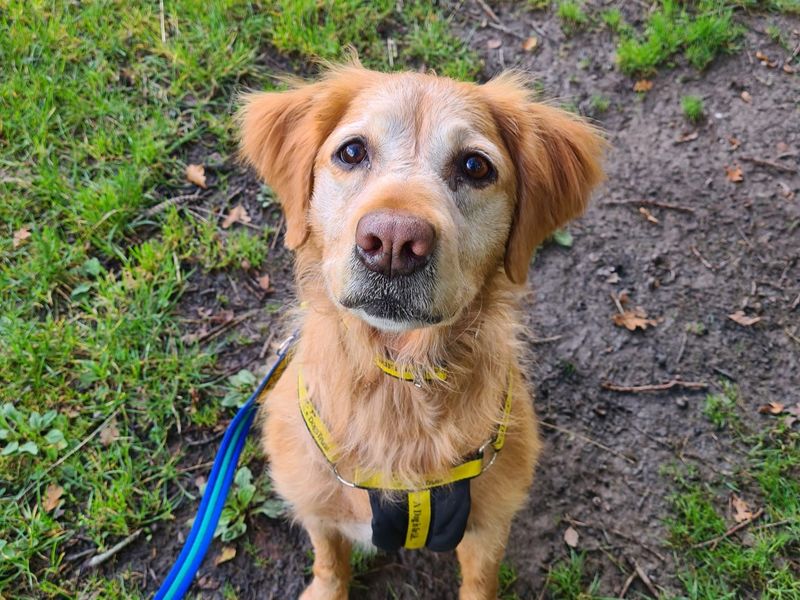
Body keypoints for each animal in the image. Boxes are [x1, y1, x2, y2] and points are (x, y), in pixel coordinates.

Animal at [241, 63, 604, 596]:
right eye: (352, 152)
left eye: (475, 167)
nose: (393, 242)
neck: (398, 379)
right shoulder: (317, 503)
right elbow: (329, 559)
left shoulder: (488, 525)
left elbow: (480, 582)